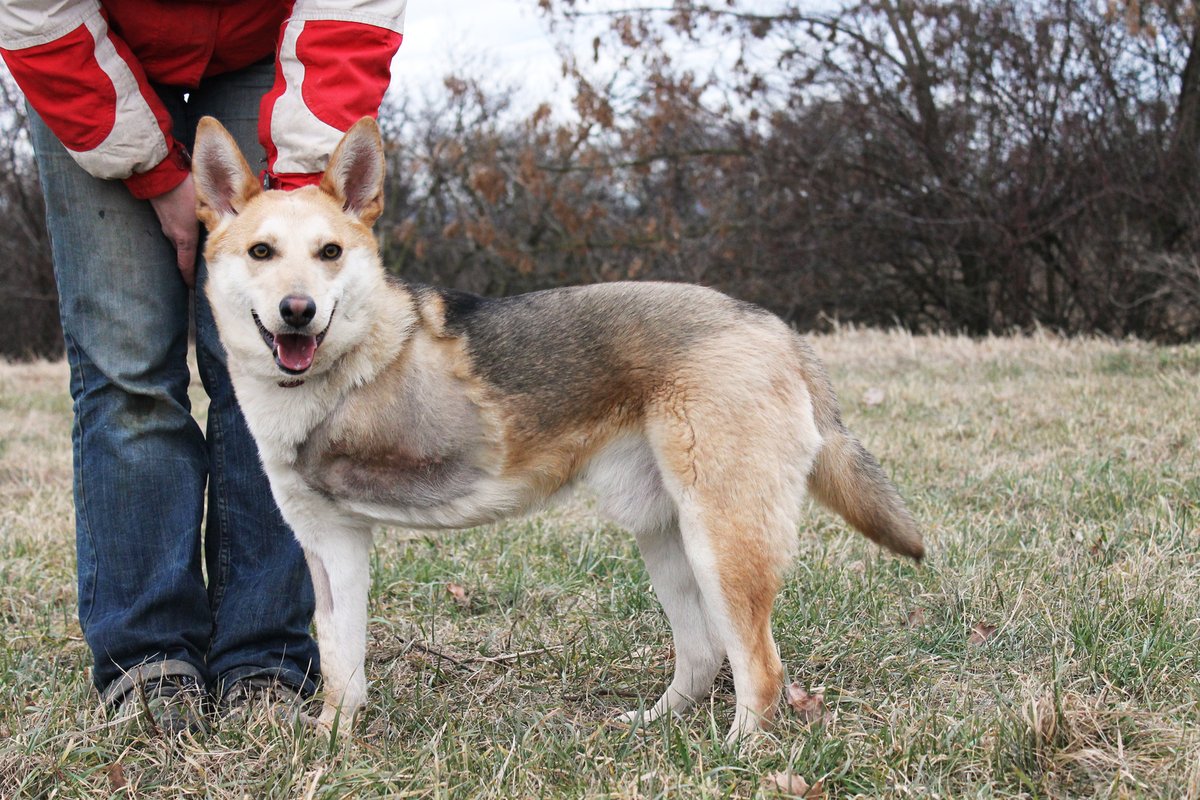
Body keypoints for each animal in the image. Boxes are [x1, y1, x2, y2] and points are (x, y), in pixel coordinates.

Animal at [189, 115, 926, 743]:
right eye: (262, 252)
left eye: (330, 252)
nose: (299, 311)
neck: (338, 366)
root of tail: (775, 327)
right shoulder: (327, 542)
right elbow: (341, 660)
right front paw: (331, 741)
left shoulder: (340, 536)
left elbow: (342, 660)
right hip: (665, 535)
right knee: (702, 653)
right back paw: (652, 727)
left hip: (723, 541)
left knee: (760, 671)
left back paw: (737, 754)